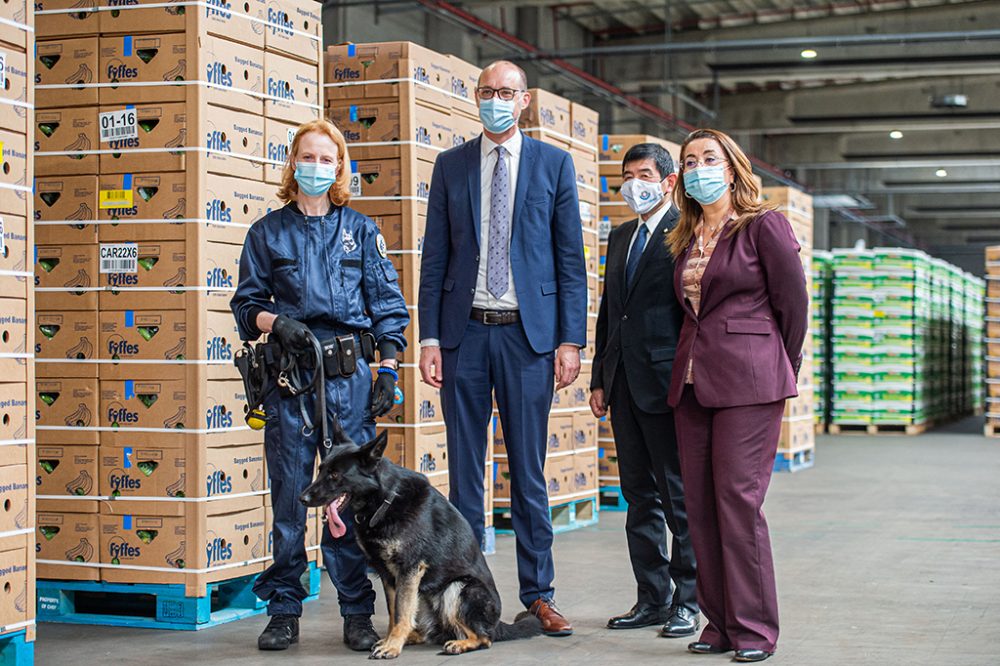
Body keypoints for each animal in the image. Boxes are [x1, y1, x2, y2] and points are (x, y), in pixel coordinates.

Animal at [300, 428, 544, 656]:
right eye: (320, 470)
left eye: (334, 475)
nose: (302, 499)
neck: (385, 500)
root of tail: (498, 624)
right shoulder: (388, 574)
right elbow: (394, 611)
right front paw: (391, 640)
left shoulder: (409, 569)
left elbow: (400, 612)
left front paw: (392, 646)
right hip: (424, 596)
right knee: (423, 627)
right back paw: (413, 637)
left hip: (460, 588)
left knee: (484, 638)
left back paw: (459, 644)